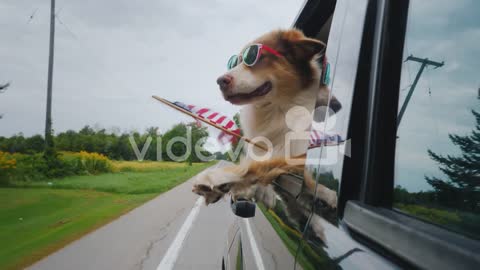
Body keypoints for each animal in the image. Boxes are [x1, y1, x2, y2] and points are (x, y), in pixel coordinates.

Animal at [189, 29, 340, 211]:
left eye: (255, 57)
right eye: (236, 62)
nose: (220, 81)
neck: (276, 111)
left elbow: (262, 166)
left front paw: (217, 178)